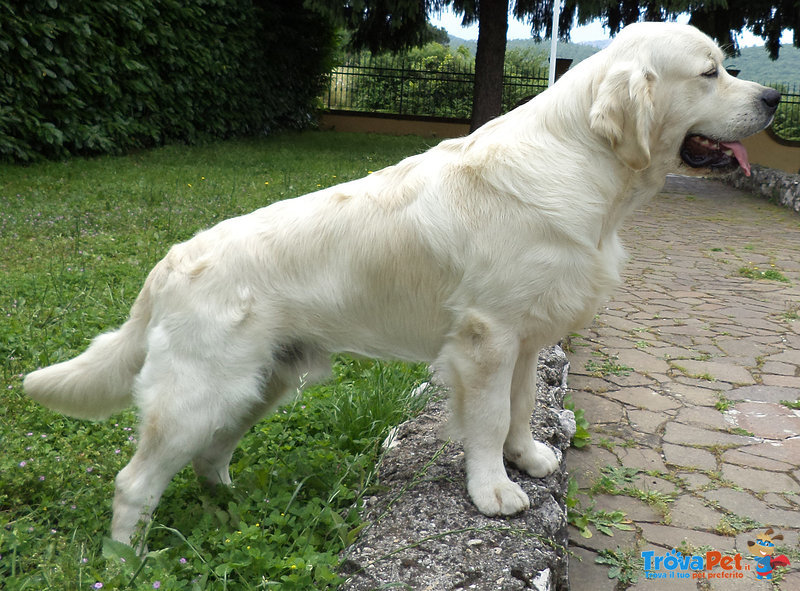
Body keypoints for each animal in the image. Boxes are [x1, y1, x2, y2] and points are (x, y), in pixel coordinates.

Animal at [25, 23, 780, 552]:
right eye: (710, 72)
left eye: (730, 66)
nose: (774, 97)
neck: (586, 165)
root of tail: (173, 258)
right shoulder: (486, 338)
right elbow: (485, 418)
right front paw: (493, 489)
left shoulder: (527, 335)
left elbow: (521, 405)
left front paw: (529, 457)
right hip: (198, 392)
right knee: (135, 481)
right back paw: (128, 559)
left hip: (258, 384)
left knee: (211, 455)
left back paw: (232, 506)